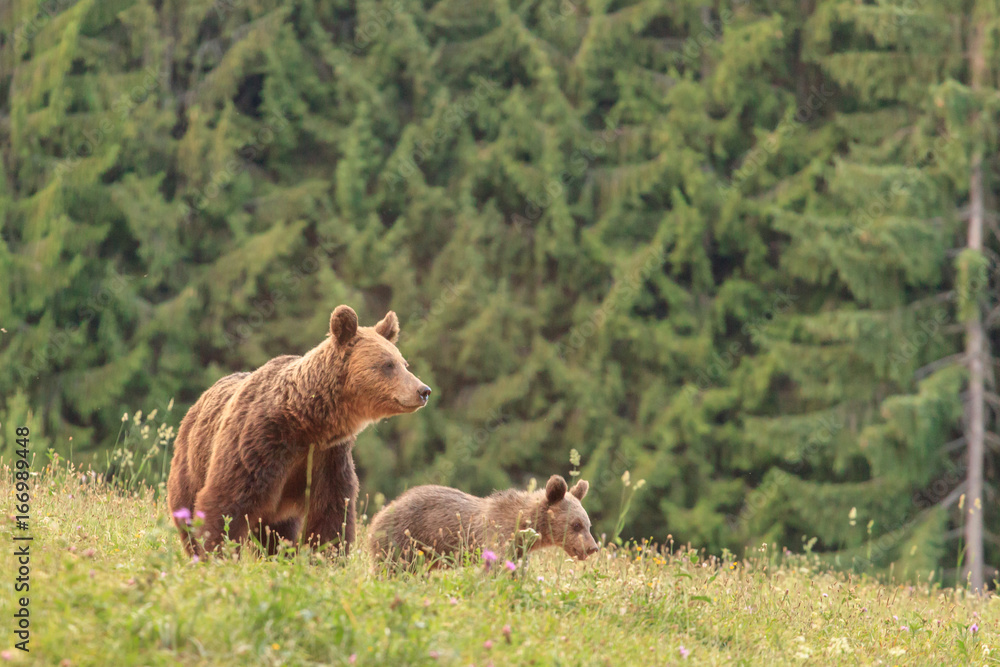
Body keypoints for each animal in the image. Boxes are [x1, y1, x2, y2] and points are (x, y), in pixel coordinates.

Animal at [166, 305, 431, 556]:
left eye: (404, 363)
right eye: (388, 364)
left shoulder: (327, 457)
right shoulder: (257, 445)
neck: (306, 423)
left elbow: (331, 515)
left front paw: (326, 557)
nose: (423, 390)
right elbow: (225, 503)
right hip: (191, 463)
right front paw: (218, 553)